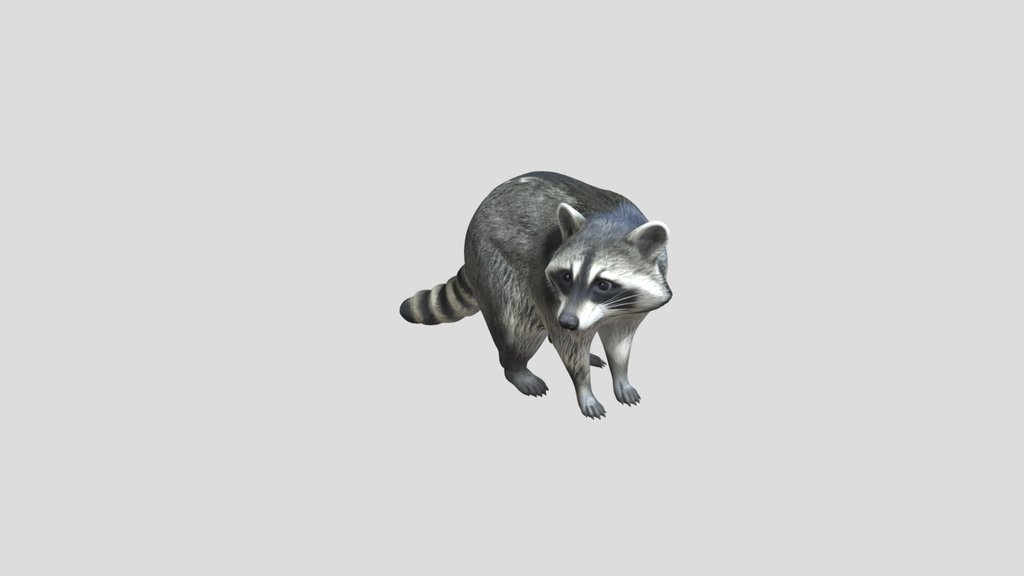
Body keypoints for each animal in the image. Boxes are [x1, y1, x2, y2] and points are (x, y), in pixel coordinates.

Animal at [399, 172, 672, 418]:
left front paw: (621, 376)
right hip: (494, 265)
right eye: (566, 277)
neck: (613, 221)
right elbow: (569, 345)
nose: (568, 321)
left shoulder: (628, 310)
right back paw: (517, 369)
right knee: (518, 327)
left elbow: (619, 343)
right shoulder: (548, 288)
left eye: (603, 284)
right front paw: (584, 387)